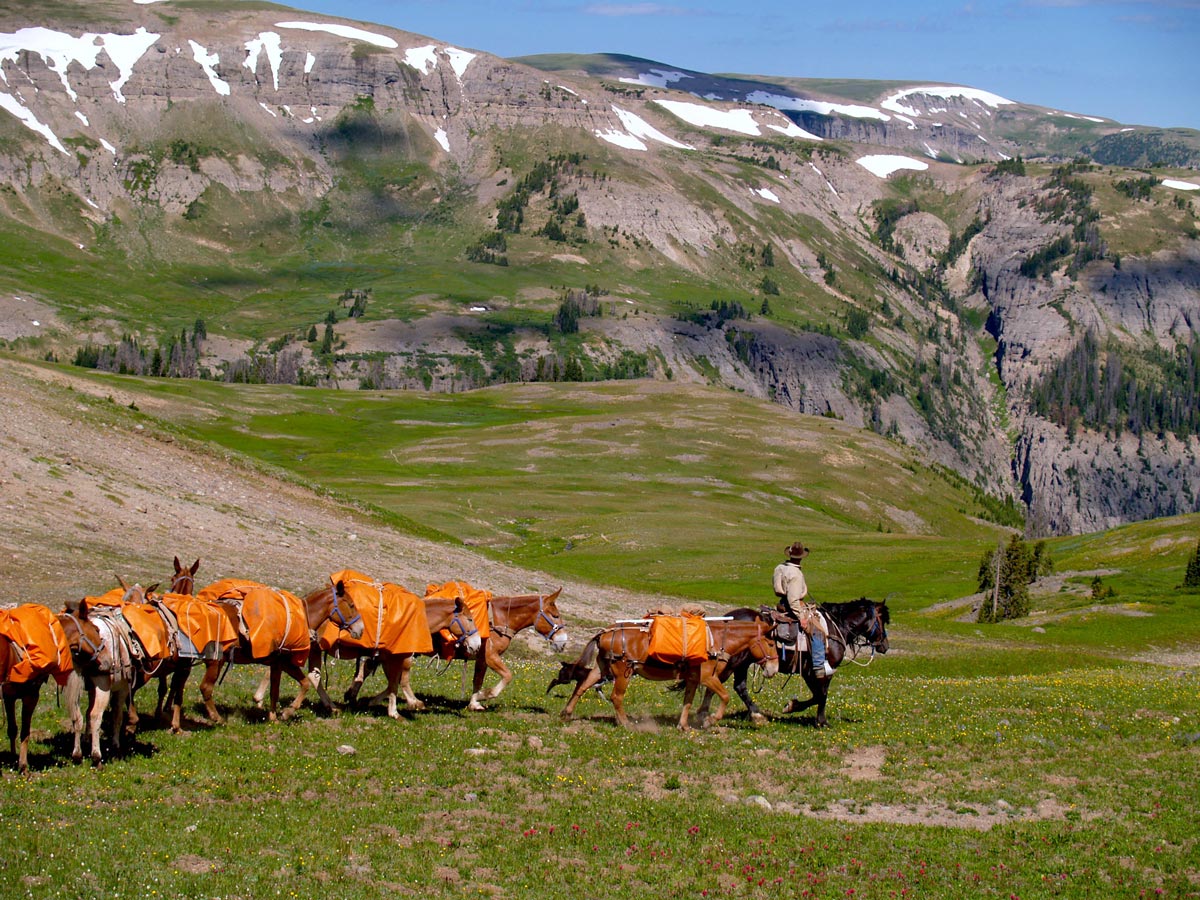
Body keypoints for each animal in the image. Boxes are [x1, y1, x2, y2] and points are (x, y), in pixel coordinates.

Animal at [549, 619, 777, 729]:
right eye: (773, 643)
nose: (773, 669)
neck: (717, 640)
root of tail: (604, 632)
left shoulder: (693, 679)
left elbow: (688, 702)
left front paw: (683, 726)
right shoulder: (707, 678)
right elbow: (725, 696)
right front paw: (710, 721)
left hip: (602, 668)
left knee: (582, 685)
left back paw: (567, 713)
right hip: (623, 672)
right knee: (616, 697)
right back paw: (625, 723)